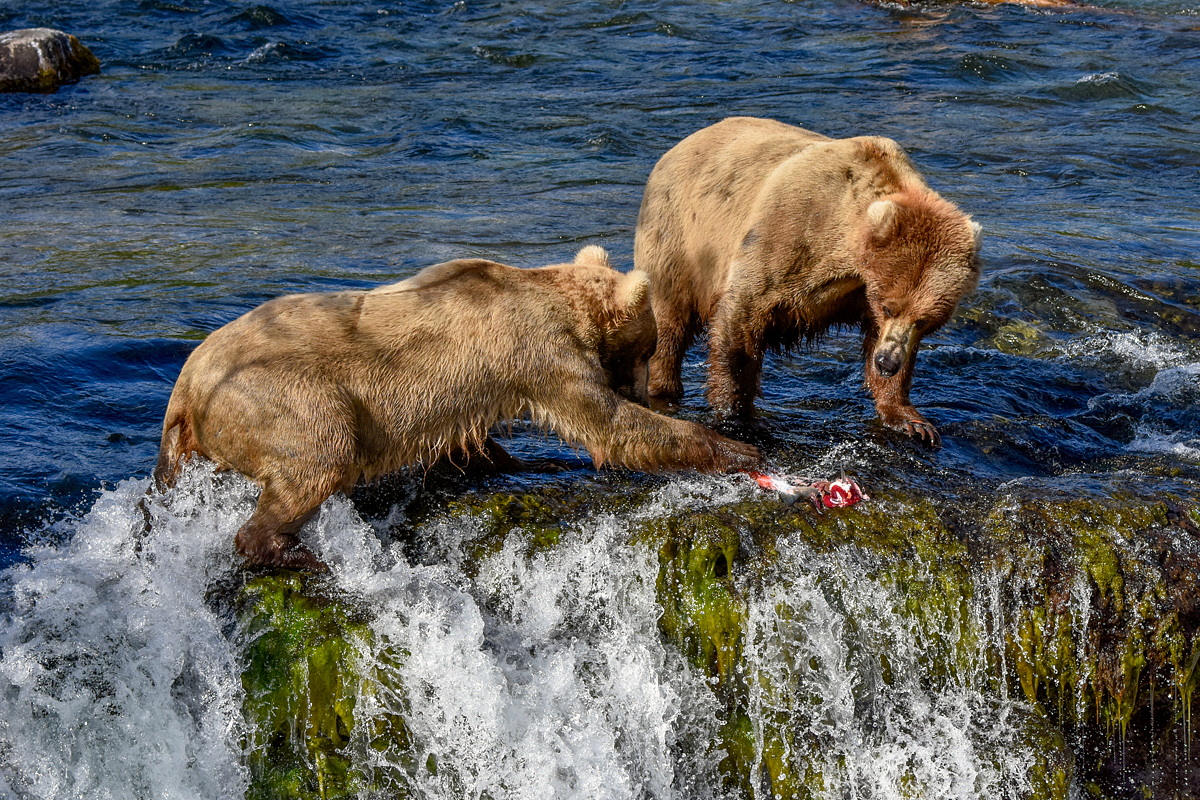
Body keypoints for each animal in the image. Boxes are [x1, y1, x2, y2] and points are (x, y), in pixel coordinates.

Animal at [154, 247, 758, 573]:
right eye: (648, 346)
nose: (642, 391)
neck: (563, 306)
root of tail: (185, 387)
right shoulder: (540, 354)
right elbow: (608, 426)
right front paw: (736, 450)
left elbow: (467, 444)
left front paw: (513, 460)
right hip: (276, 393)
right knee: (321, 452)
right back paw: (290, 550)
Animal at [633, 115, 979, 448]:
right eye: (889, 307)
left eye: (925, 320)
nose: (886, 362)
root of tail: (681, 145)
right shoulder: (790, 234)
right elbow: (743, 316)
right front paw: (740, 416)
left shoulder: (862, 293)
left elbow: (888, 344)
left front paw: (912, 420)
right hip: (679, 235)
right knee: (670, 321)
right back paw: (663, 387)